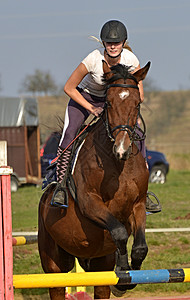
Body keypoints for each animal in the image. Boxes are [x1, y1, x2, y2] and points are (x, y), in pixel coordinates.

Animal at [38, 59, 151, 298]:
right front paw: (122, 272)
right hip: (54, 264)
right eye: (108, 103)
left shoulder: (138, 204)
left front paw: (125, 280)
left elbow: (139, 247)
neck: (117, 164)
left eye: (137, 104)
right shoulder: (90, 202)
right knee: (57, 284)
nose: (122, 148)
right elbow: (119, 232)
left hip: (97, 265)